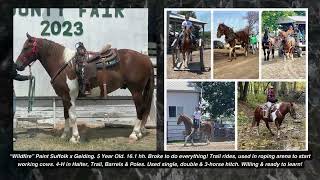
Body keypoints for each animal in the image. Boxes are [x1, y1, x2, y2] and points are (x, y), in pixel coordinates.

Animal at [15, 33, 155, 143]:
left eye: (26, 47)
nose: (17, 65)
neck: (64, 65)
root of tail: (146, 58)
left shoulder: (70, 97)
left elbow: (73, 116)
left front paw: (74, 138)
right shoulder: (64, 96)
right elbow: (66, 115)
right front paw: (64, 135)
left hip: (136, 91)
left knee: (140, 110)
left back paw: (134, 134)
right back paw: (140, 132)